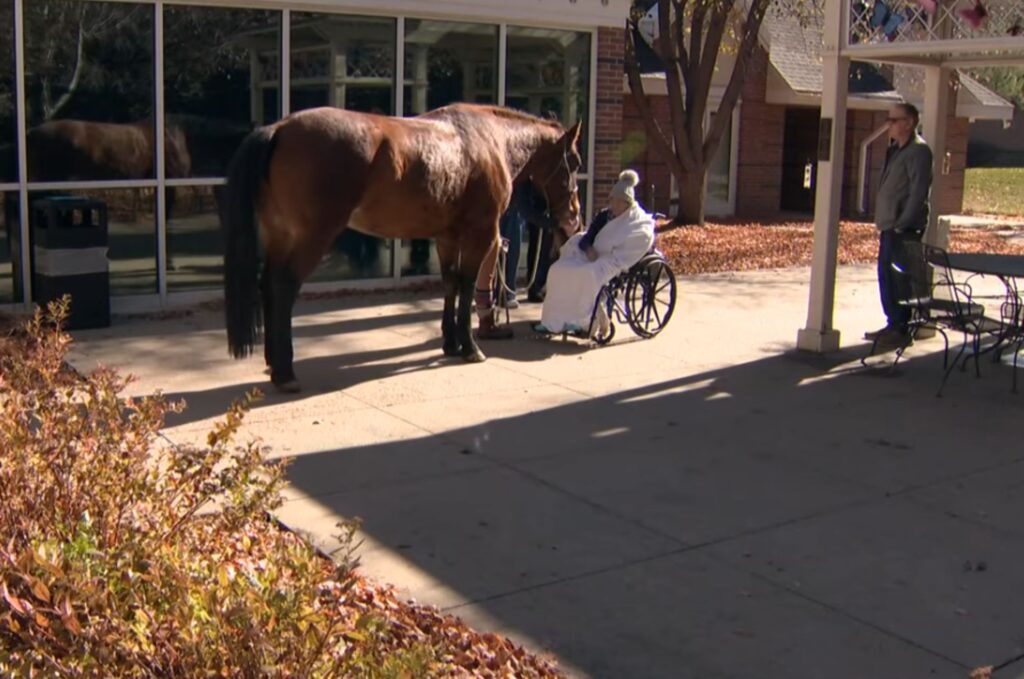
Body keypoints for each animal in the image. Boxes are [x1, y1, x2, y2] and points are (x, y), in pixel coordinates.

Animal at [220, 104, 581, 393]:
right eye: (574, 162)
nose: (575, 216)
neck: (489, 141)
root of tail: (278, 130)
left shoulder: (447, 237)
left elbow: (449, 285)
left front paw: (451, 342)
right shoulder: (481, 234)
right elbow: (466, 285)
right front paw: (469, 347)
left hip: (280, 236)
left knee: (268, 285)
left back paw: (273, 363)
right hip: (312, 237)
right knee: (283, 288)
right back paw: (285, 373)